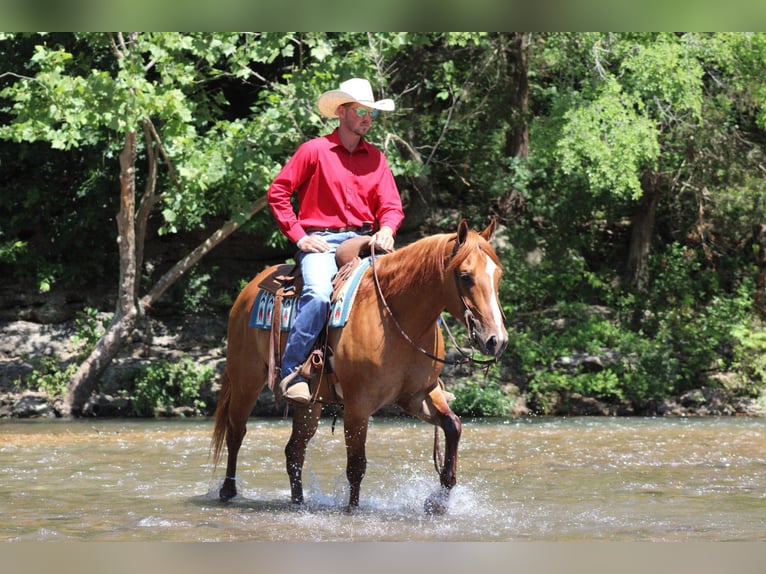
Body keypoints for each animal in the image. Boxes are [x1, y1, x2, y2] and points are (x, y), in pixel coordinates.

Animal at [212, 219, 510, 512]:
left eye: (498, 275)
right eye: (465, 276)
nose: (496, 340)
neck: (394, 315)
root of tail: (249, 288)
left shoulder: (417, 395)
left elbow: (453, 425)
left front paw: (437, 501)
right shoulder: (358, 405)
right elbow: (356, 465)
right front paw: (353, 510)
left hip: (310, 403)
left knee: (294, 450)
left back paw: (298, 502)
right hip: (245, 380)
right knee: (236, 432)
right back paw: (227, 491)